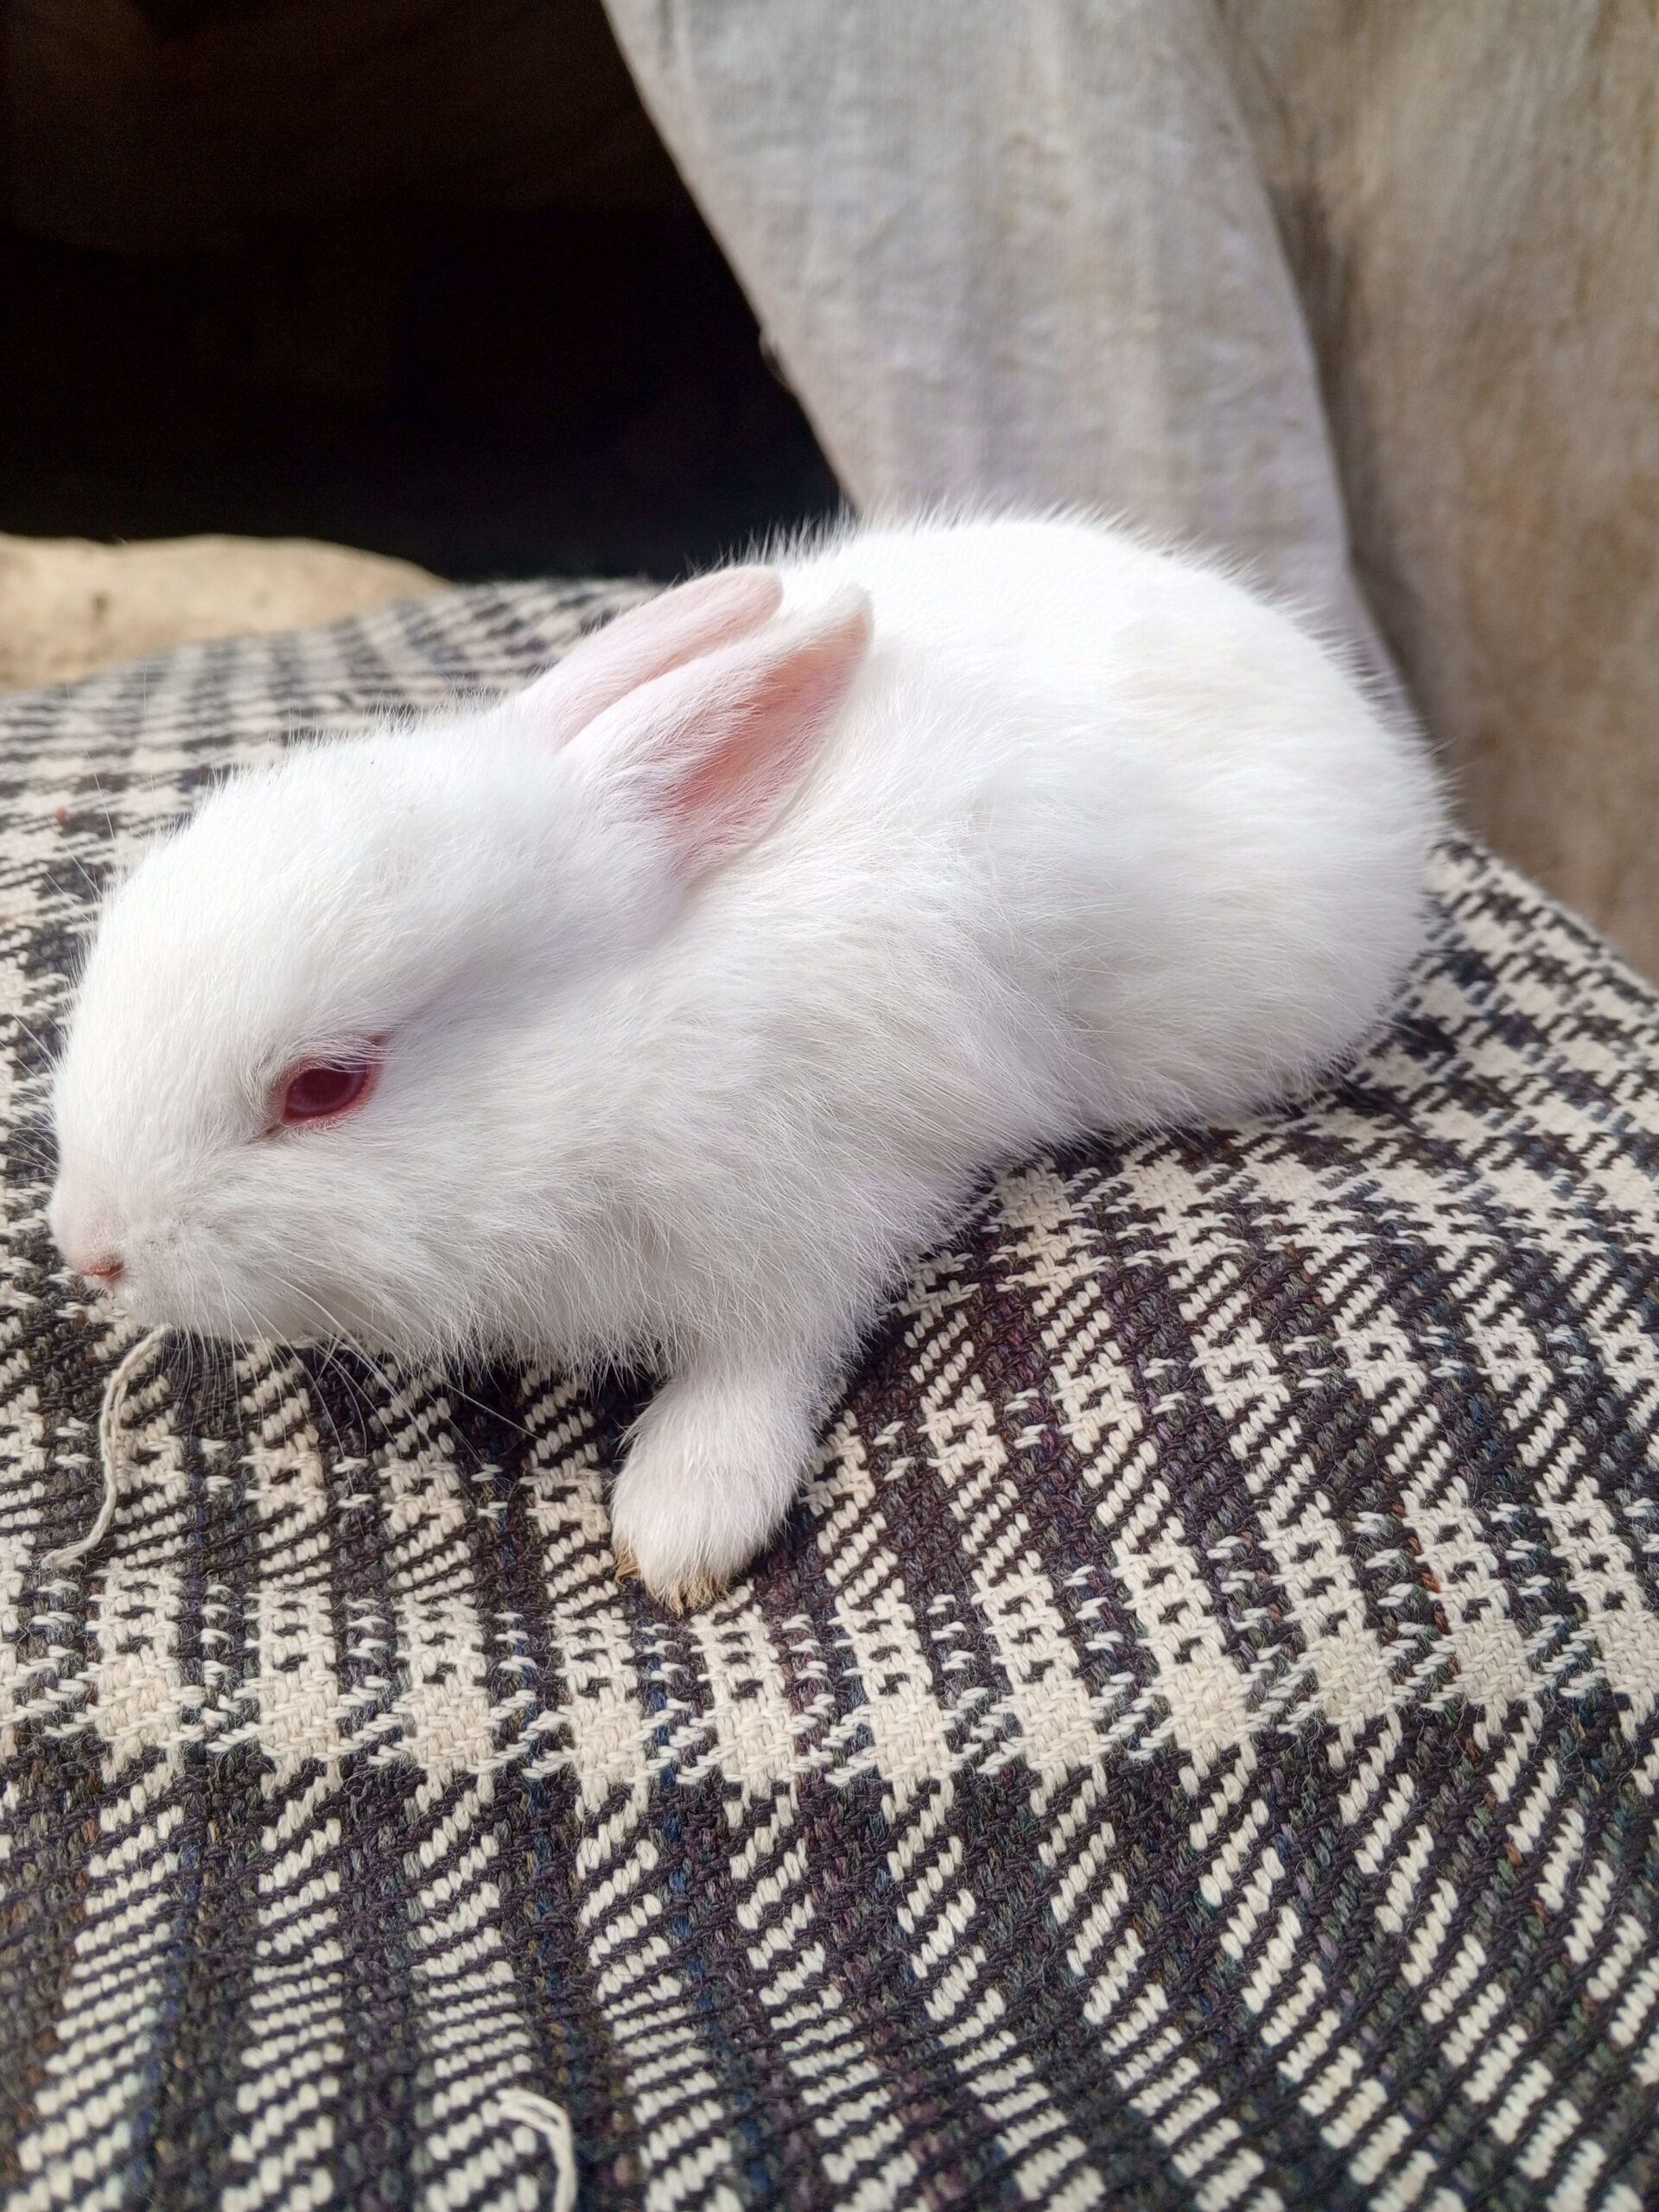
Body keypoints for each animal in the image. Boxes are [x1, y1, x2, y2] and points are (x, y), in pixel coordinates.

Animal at [48, 513, 1440, 1609]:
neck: (630, 1037)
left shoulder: (823, 1216)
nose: (90, 1248)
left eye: (326, 1086)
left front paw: (679, 1527)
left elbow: (766, 1364)